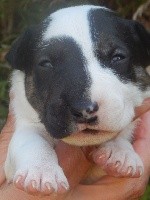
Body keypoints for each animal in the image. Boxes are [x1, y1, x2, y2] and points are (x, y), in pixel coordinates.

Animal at [4, 4, 150, 195]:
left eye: (118, 57)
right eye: (46, 64)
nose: (84, 109)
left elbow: (125, 129)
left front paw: (120, 151)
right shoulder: (25, 121)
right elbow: (30, 140)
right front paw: (41, 170)